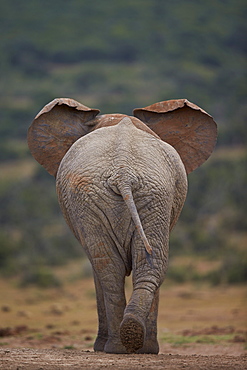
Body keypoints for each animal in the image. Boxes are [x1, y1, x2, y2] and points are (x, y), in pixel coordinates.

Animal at [27, 97, 216, 354]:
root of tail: (123, 172)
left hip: (141, 195)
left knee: (112, 268)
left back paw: (121, 345)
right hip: (132, 196)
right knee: (142, 264)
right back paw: (131, 341)